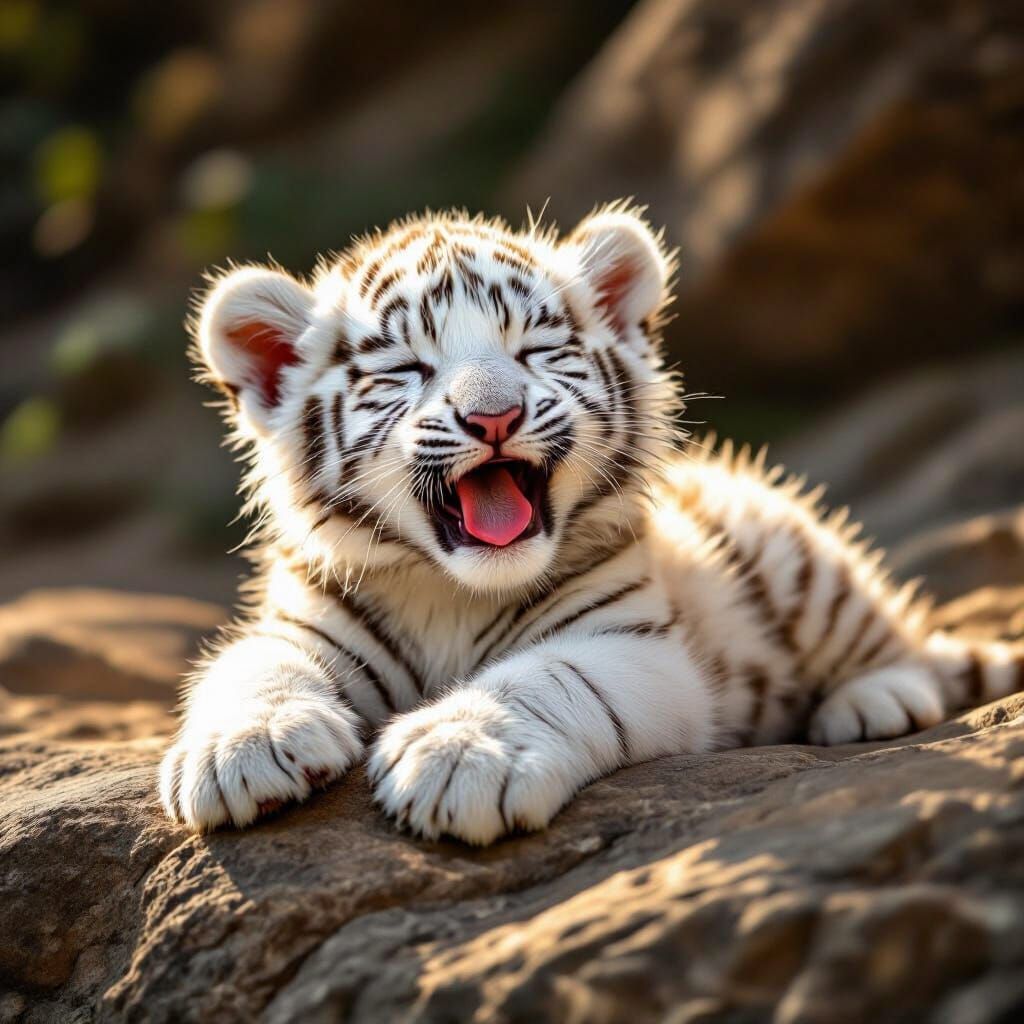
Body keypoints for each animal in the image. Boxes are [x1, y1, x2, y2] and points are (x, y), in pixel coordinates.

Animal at [159, 203, 1024, 844]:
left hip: (796, 558)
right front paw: (243, 749)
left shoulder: (636, 649)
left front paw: (457, 754)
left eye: (537, 352)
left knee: (892, 637)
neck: (453, 593)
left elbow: (545, 679)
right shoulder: (305, 624)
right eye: (407, 370)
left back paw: (877, 699)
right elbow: (253, 665)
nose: (493, 417)